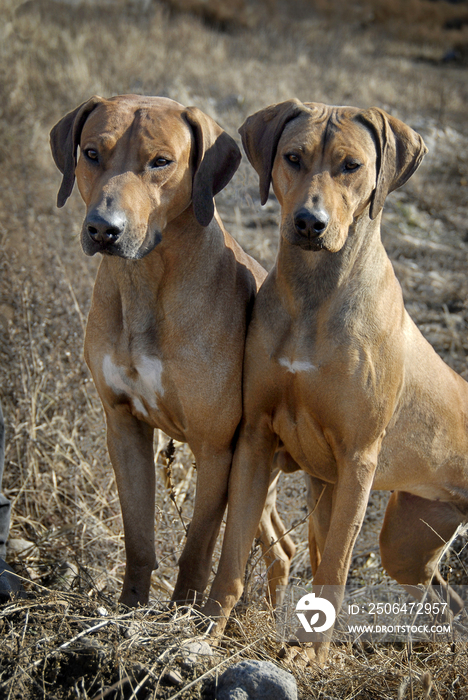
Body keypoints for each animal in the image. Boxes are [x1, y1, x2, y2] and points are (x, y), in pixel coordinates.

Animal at [50, 95, 292, 608]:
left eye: (161, 162)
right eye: (91, 153)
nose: (103, 230)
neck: (145, 280)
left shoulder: (216, 448)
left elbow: (197, 550)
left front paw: (180, 615)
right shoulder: (123, 426)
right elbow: (138, 538)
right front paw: (130, 609)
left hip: (251, 463)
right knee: (282, 547)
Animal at [204, 98, 468, 660]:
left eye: (352, 165)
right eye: (293, 157)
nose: (309, 222)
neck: (314, 294)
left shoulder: (357, 461)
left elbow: (335, 568)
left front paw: (312, 656)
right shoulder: (256, 439)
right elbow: (232, 556)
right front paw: (207, 628)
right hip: (407, 541)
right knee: (444, 593)